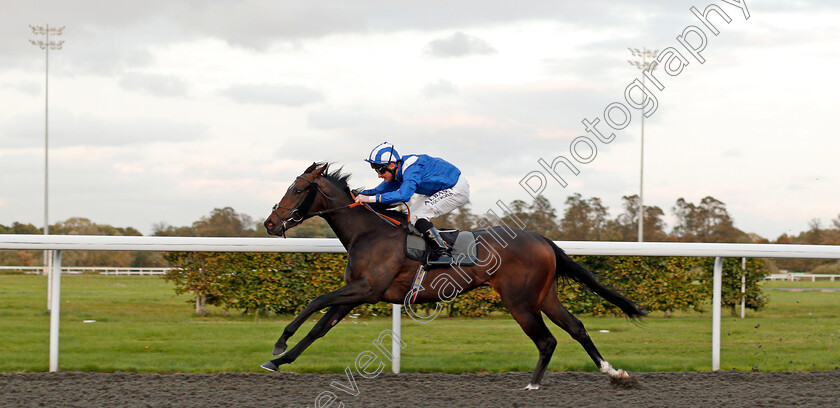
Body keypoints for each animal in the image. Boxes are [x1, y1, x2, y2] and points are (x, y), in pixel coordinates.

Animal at [262, 163, 644, 388]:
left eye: (298, 190)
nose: (269, 223)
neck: (369, 232)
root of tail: (541, 239)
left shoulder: (366, 289)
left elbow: (315, 301)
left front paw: (280, 342)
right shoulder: (356, 292)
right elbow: (320, 327)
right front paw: (278, 361)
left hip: (520, 301)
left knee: (547, 340)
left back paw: (533, 384)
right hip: (544, 296)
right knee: (577, 328)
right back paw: (614, 372)